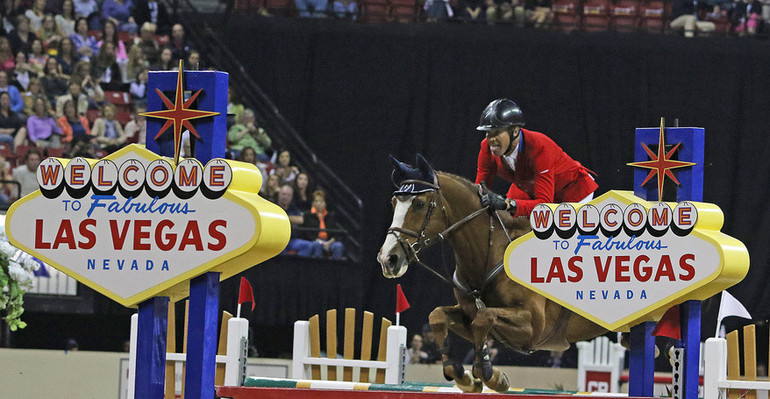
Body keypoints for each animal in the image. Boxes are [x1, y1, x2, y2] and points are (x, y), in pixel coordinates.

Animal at [376, 155, 608, 394]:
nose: (387, 259)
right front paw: (466, 377)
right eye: (394, 203)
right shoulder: (469, 313)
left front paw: (488, 374)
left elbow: (483, 319)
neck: (491, 252)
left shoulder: (534, 328)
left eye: (419, 204)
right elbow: (439, 316)